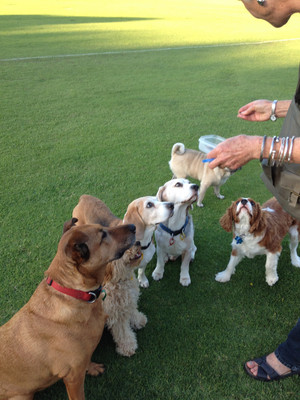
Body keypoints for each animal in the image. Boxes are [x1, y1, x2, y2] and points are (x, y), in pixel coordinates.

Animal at [0, 219, 135, 400]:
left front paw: (92, 367)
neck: (74, 293)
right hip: (21, 396)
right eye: (103, 235)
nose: (134, 226)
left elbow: (87, 359)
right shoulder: (73, 377)